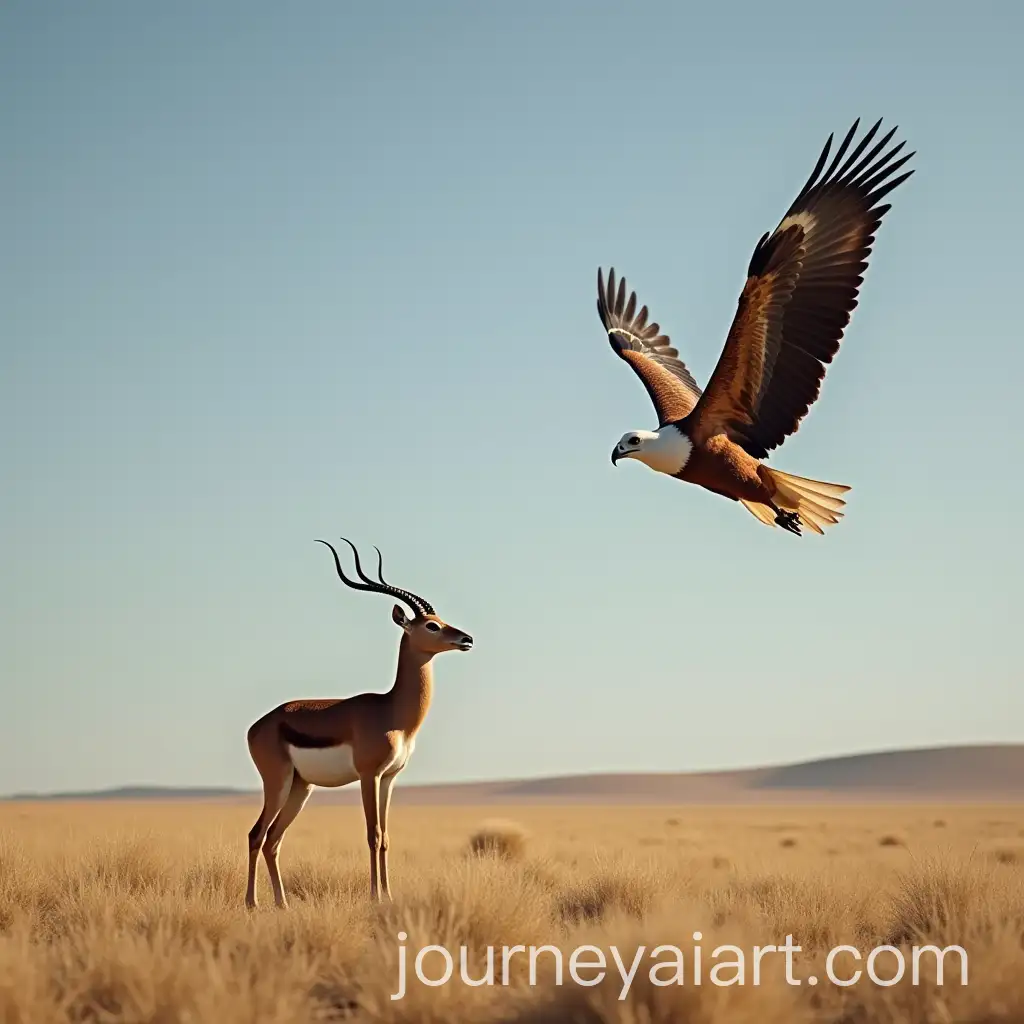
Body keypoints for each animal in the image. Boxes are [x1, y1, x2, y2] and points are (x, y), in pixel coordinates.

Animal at [244, 537, 474, 908]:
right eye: (431, 625)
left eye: (440, 619)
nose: (466, 639)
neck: (392, 712)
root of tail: (258, 725)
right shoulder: (369, 775)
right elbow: (372, 834)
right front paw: (375, 897)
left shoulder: (389, 778)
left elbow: (386, 837)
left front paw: (389, 895)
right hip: (277, 783)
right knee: (256, 834)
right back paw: (251, 904)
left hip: (300, 787)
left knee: (273, 840)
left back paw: (282, 904)